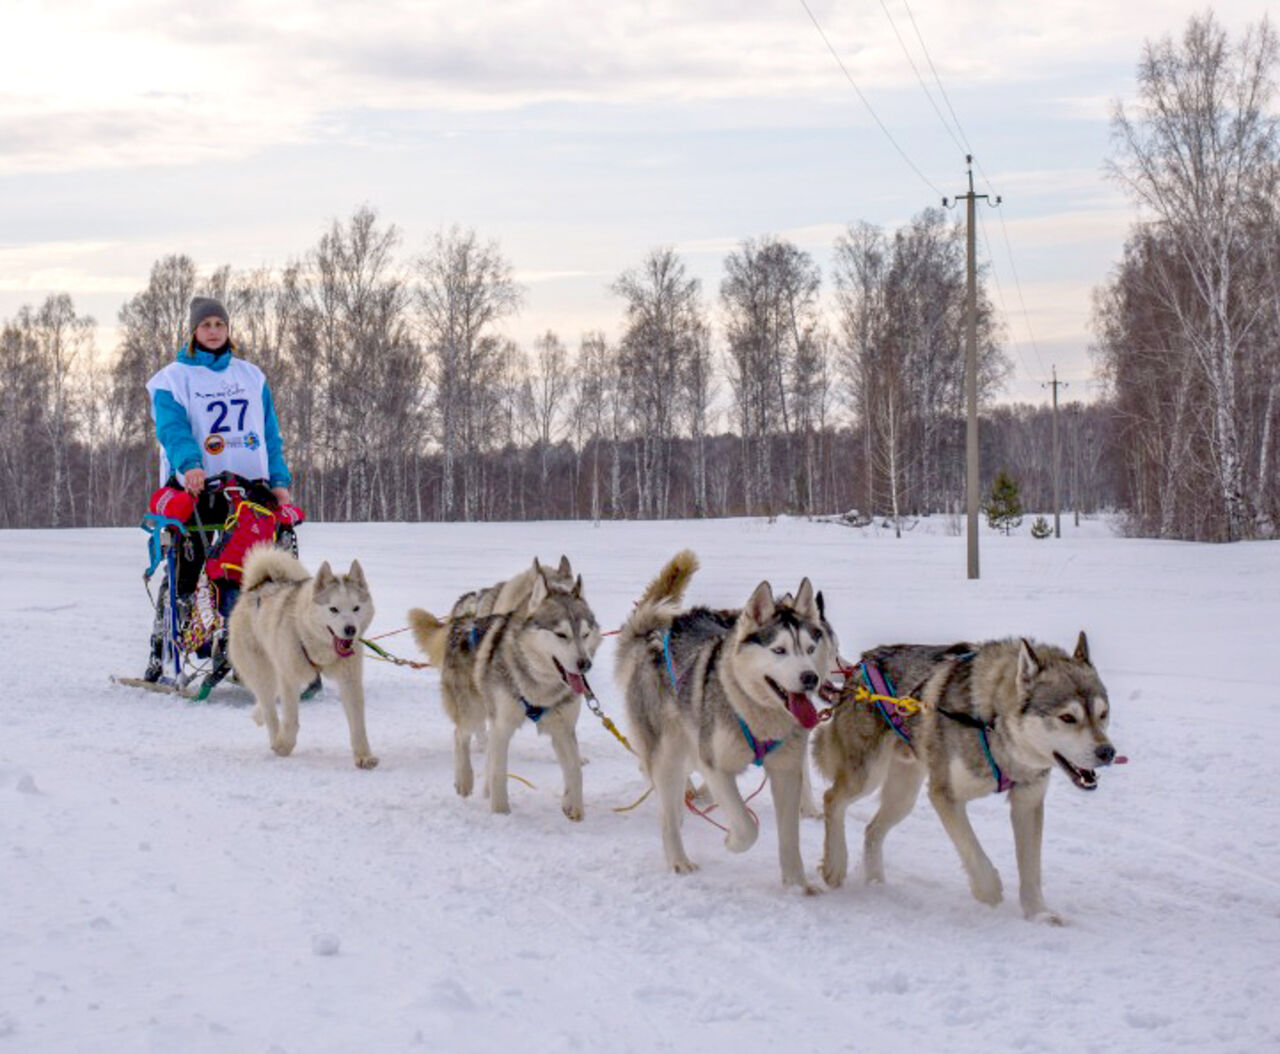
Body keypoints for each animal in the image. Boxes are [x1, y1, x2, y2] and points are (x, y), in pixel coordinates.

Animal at [229, 548, 376, 768]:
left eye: (356, 608)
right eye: (333, 609)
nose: (350, 629)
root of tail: (258, 586)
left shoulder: (350, 681)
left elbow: (358, 725)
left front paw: (363, 756)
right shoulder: (289, 678)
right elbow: (290, 720)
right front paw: (284, 746)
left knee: (267, 702)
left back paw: (257, 716)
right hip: (264, 672)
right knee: (270, 710)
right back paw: (275, 739)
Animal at [414, 555, 604, 819]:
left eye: (585, 634)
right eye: (561, 634)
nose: (585, 664)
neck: (539, 687)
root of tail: (463, 621)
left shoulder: (563, 728)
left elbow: (575, 770)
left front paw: (574, 808)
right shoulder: (502, 725)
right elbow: (498, 772)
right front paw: (500, 812)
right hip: (472, 710)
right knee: (460, 735)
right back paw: (464, 779)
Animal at [616, 553, 839, 891]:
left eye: (811, 649)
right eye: (779, 650)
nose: (810, 678)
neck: (754, 710)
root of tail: (653, 635)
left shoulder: (786, 771)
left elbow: (790, 838)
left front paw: (797, 885)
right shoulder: (715, 766)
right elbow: (747, 826)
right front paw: (732, 841)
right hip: (668, 754)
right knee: (666, 812)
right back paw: (679, 859)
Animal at [814, 635, 1116, 922]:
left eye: (1103, 714)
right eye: (1067, 717)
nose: (1108, 752)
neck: (991, 722)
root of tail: (861, 664)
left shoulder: (1028, 801)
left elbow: (1031, 870)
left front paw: (1038, 913)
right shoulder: (944, 795)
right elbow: (972, 850)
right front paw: (989, 891)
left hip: (904, 795)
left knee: (872, 830)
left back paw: (876, 883)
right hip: (867, 775)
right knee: (831, 799)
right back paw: (834, 865)